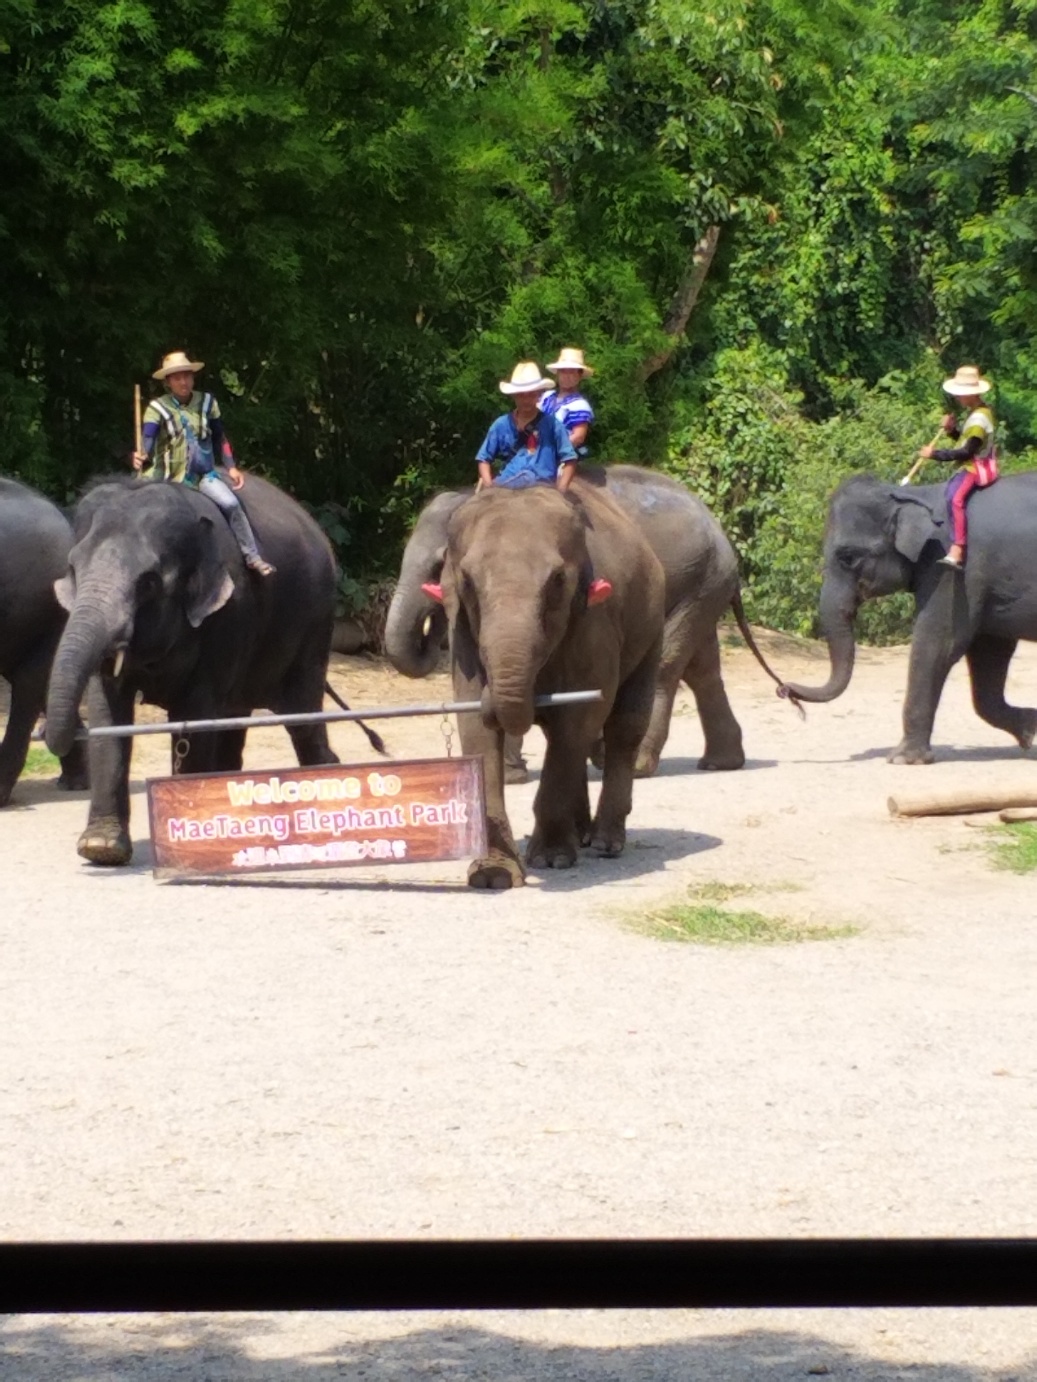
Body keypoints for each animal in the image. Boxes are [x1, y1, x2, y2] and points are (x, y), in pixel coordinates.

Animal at [46, 473, 348, 865]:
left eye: (149, 583)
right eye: (73, 570)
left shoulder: (229, 613)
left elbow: (195, 716)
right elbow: (109, 715)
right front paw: (101, 848)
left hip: (315, 622)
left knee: (302, 715)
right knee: (237, 719)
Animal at [385, 464, 780, 780]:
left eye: (438, 564)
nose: (433, 628)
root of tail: (720, 530)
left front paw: (514, 776)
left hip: (699, 581)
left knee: (667, 664)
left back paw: (636, 765)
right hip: (704, 583)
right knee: (702, 666)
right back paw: (718, 763)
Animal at [434, 478, 665, 889]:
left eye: (558, 581)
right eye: (468, 582)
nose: (493, 698)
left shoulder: (594, 622)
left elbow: (578, 717)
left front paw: (551, 860)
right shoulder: (460, 630)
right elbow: (474, 725)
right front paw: (493, 875)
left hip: (651, 629)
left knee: (623, 726)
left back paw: (604, 842)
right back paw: (581, 834)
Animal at [781, 471, 1037, 763]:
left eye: (848, 557)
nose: (784, 689)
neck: (916, 496)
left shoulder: (953, 569)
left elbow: (940, 642)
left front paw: (903, 759)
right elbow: (989, 651)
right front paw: (1029, 728)